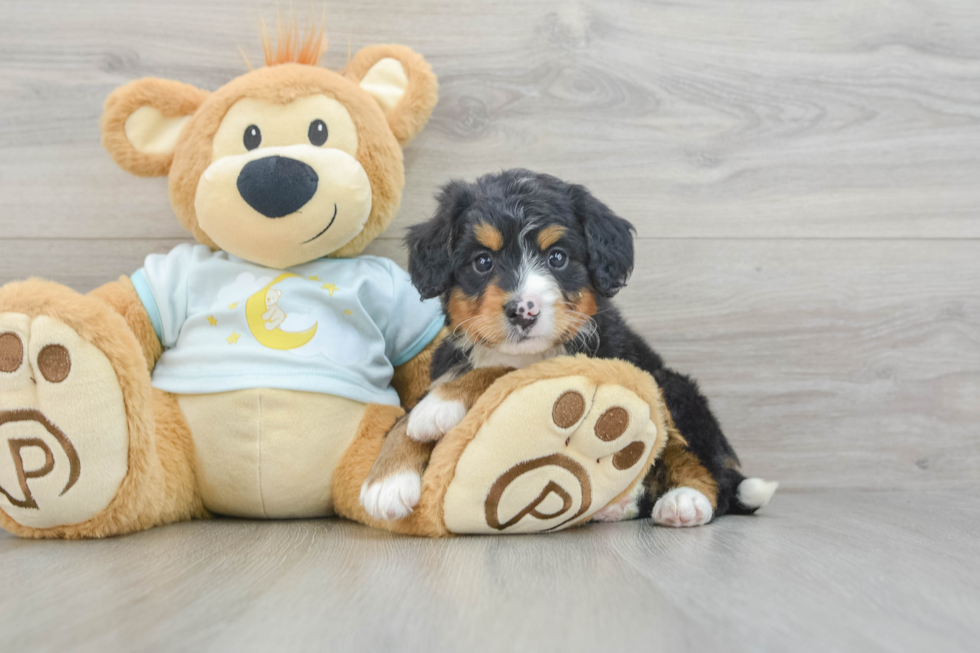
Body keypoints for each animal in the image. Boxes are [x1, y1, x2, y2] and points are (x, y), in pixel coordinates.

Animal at [356, 169, 776, 524]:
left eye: (557, 257)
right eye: (483, 261)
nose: (523, 311)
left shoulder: (579, 360)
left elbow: (500, 372)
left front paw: (439, 407)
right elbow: (406, 417)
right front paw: (387, 481)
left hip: (671, 387)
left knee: (704, 468)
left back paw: (685, 500)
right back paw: (620, 504)